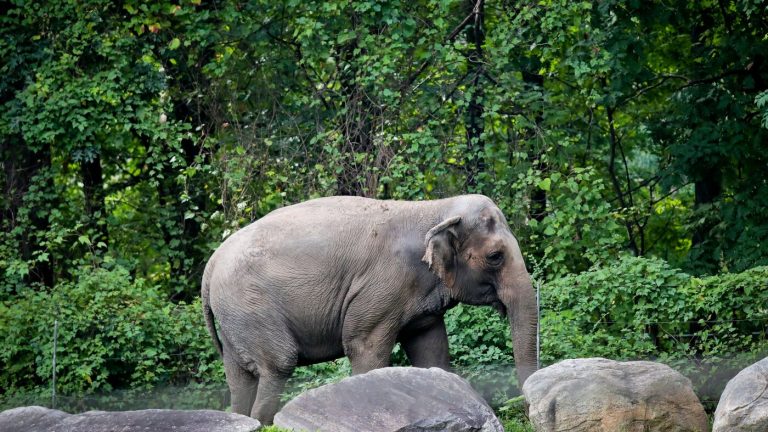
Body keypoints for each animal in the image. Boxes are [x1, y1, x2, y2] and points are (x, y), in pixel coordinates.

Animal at [201, 194, 538, 423]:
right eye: (495, 257)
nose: (525, 410)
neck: (434, 208)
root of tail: (211, 264)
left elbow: (432, 352)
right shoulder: (382, 287)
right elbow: (365, 348)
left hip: (234, 317)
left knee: (239, 379)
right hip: (251, 306)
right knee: (278, 365)